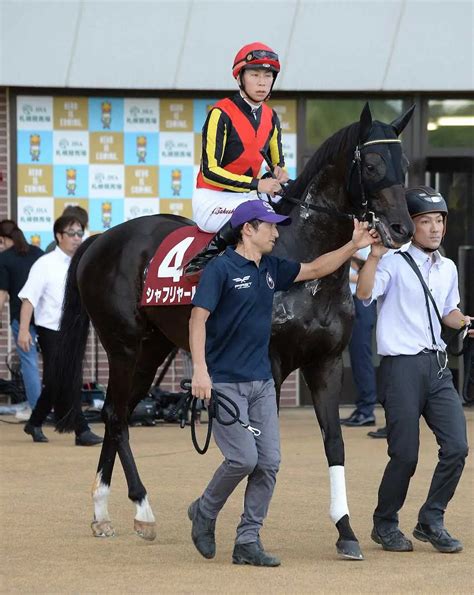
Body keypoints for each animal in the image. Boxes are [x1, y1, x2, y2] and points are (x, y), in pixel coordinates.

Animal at [52, 103, 414, 564]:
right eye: (370, 164)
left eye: (403, 165)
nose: (402, 229)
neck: (303, 260)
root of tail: (100, 240)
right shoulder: (270, 366)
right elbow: (261, 450)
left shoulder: (326, 363)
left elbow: (334, 444)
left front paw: (345, 531)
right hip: (124, 347)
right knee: (115, 416)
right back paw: (142, 509)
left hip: (151, 351)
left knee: (119, 414)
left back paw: (103, 512)